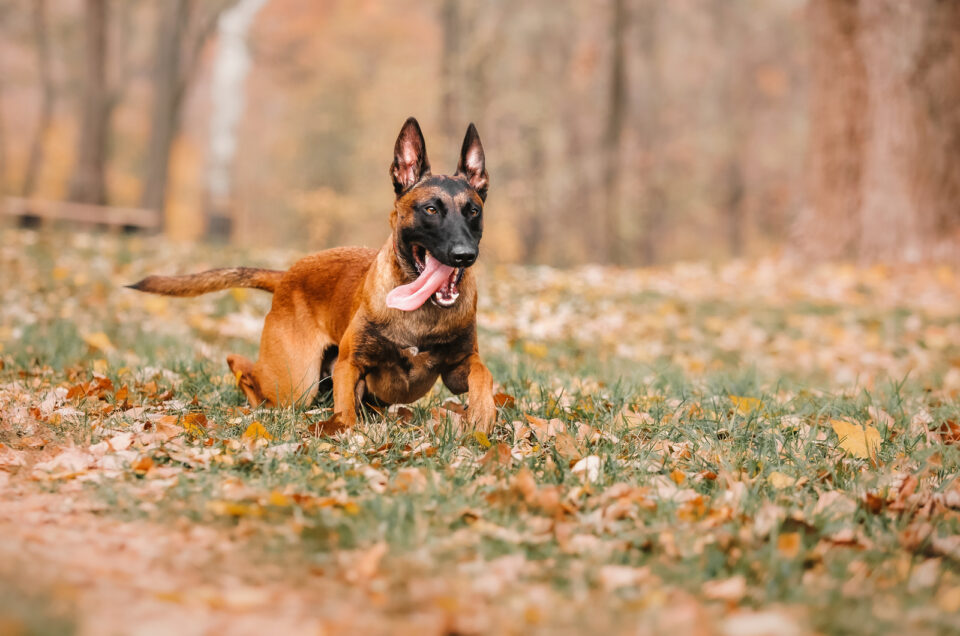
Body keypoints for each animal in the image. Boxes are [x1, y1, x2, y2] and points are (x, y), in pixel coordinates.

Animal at [129, 117, 496, 434]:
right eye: (430, 210)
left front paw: (483, 414)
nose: (464, 254)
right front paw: (347, 434)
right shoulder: (349, 365)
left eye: (473, 211)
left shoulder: (458, 368)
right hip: (296, 381)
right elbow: (345, 410)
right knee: (245, 369)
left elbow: (483, 373)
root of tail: (286, 275)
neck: (419, 313)